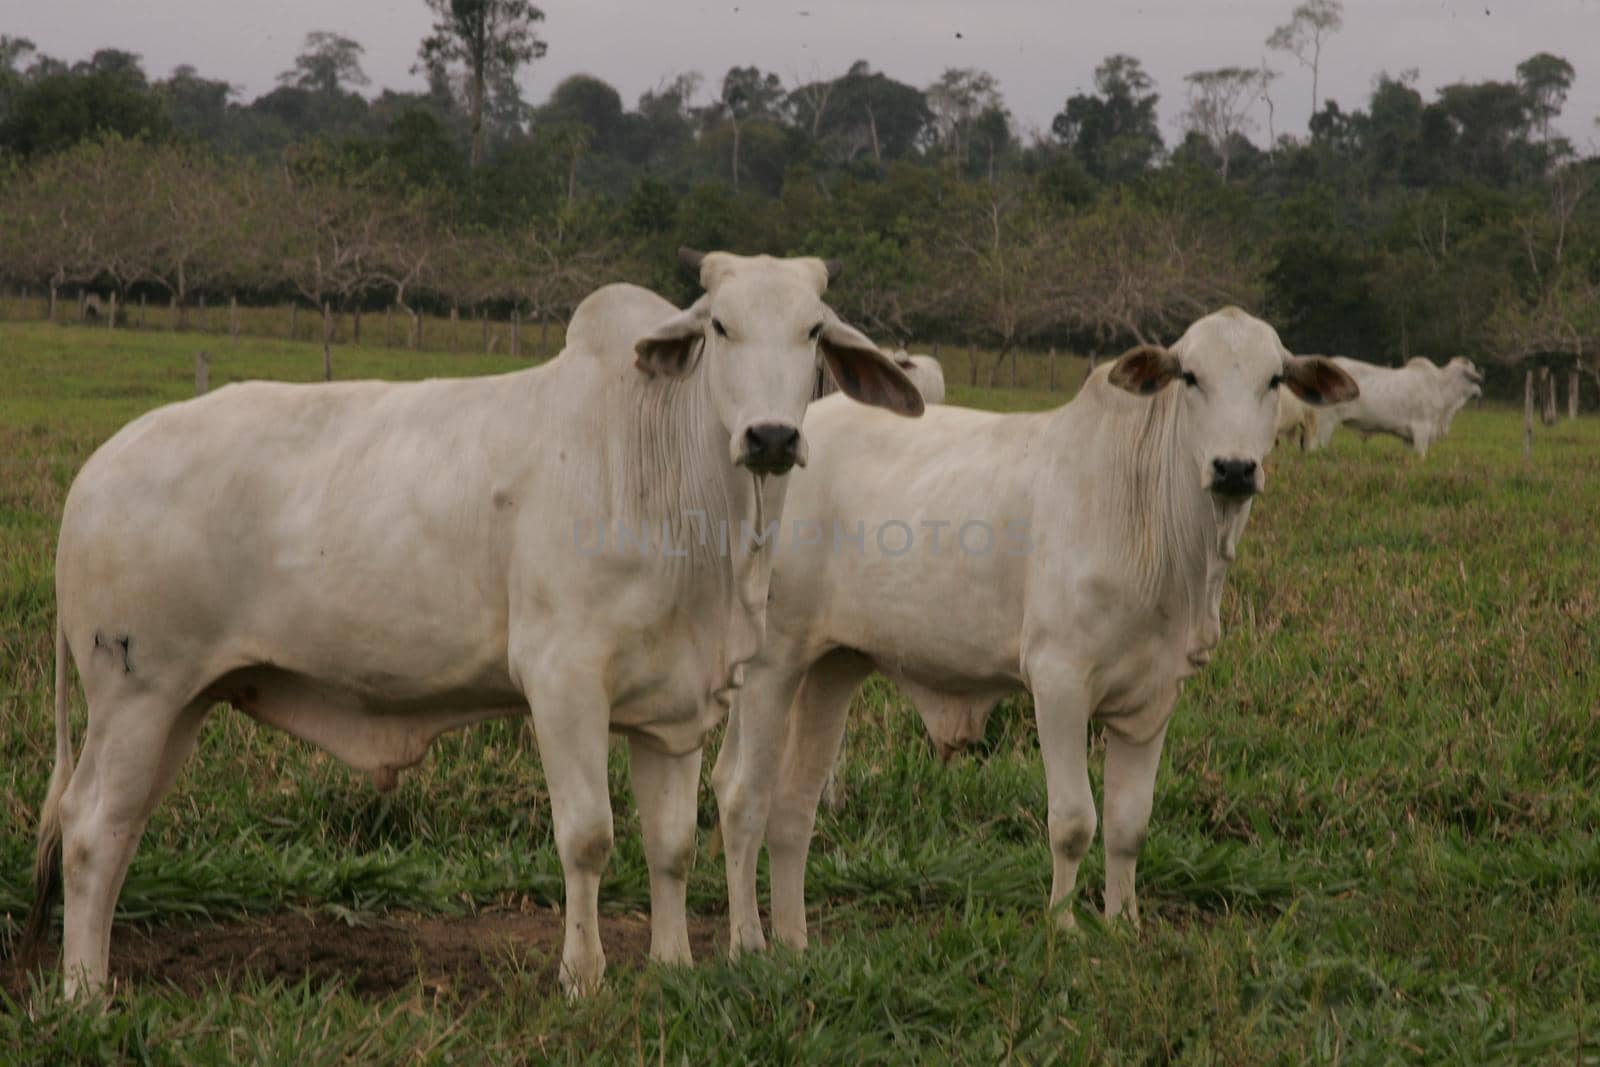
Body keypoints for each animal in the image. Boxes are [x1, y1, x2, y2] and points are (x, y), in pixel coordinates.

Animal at [21, 252, 928, 1004]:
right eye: (720, 327)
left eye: (813, 331)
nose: (771, 435)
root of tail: (95, 472)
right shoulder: (563, 681)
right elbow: (588, 837)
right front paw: (583, 976)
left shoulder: (671, 709)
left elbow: (671, 843)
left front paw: (673, 966)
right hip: (136, 692)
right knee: (92, 828)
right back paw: (83, 993)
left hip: (179, 703)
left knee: (119, 827)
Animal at [713, 307, 1350, 953]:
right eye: (1191, 376)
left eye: (1275, 380)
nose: (1234, 468)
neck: (1156, 526)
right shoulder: (1058, 680)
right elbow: (1073, 821)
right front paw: (1063, 924)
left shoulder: (1154, 699)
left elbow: (1129, 824)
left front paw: (1125, 924)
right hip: (772, 661)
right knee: (742, 795)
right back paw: (748, 942)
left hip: (831, 667)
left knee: (792, 804)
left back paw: (794, 939)